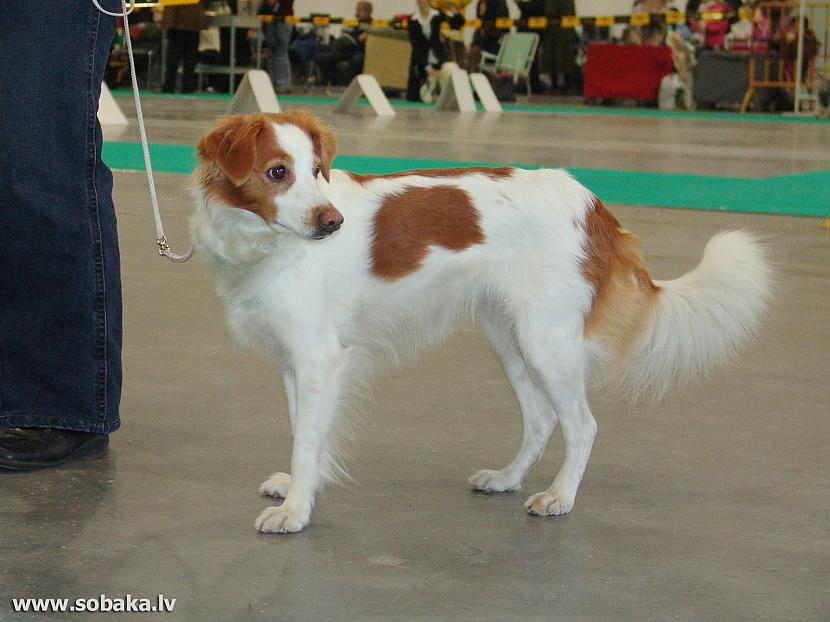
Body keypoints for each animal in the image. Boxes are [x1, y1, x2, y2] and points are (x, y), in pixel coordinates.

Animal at [190, 109, 772, 532]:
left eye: (315, 171)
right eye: (278, 172)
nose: (332, 222)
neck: (263, 244)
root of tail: (593, 206)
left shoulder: (318, 357)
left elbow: (307, 438)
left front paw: (295, 510)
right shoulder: (296, 361)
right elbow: (303, 429)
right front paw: (298, 487)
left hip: (545, 340)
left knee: (581, 424)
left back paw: (558, 497)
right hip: (509, 337)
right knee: (540, 419)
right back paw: (507, 478)